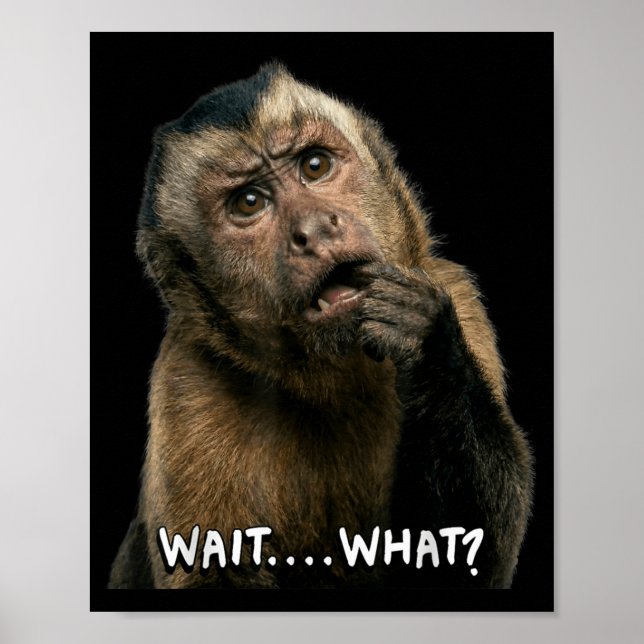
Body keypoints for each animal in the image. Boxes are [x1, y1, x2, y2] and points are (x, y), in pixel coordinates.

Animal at [108, 63, 533, 590]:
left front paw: (426, 344)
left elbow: (465, 565)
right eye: (249, 202)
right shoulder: (190, 378)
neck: (330, 377)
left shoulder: (454, 293)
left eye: (314, 166)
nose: (312, 230)